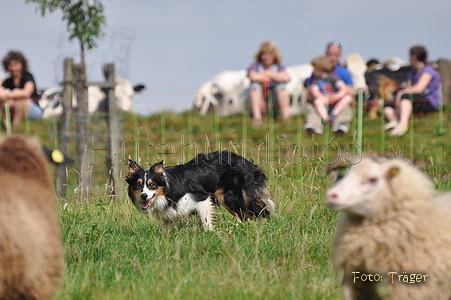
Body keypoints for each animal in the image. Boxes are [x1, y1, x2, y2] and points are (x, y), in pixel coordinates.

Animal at [127, 151, 276, 231]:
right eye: (137, 185)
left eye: (152, 185)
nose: (143, 196)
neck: (167, 190)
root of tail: (251, 164)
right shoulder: (168, 214)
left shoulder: (201, 199)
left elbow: (206, 221)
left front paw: (210, 233)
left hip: (231, 197)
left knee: (257, 214)